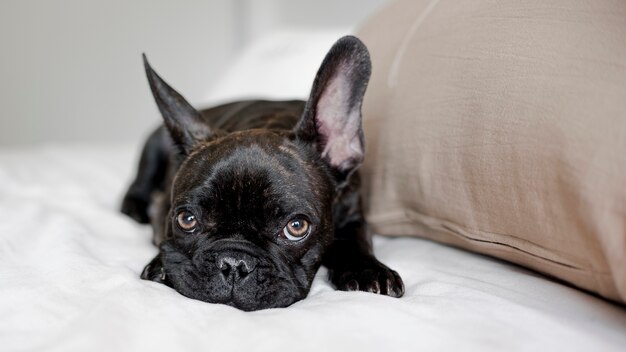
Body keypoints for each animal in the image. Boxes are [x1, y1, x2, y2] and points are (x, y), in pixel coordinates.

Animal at [120, 35, 404, 310]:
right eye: (186, 219)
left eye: (297, 227)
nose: (234, 263)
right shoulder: (162, 209)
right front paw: (161, 266)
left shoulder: (354, 212)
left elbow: (354, 239)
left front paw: (368, 270)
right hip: (153, 144)